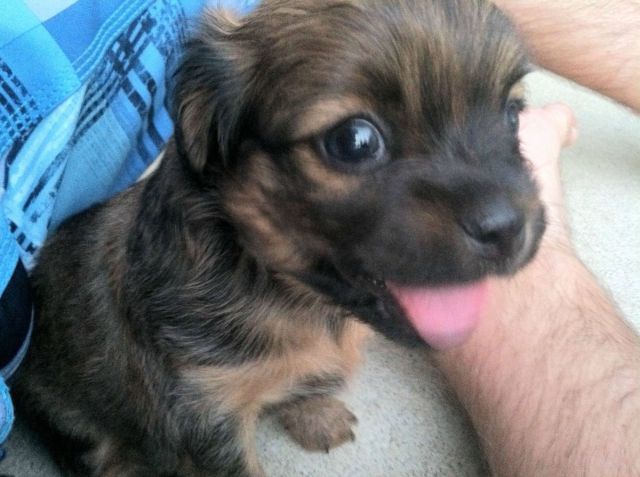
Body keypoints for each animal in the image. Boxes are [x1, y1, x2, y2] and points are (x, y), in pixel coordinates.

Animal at [16, 0, 544, 475]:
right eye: (354, 141)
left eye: (512, 114)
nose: (508, 228)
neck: (286, 293)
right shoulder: (206, 409)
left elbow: (311, 381)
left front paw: (316, 415)